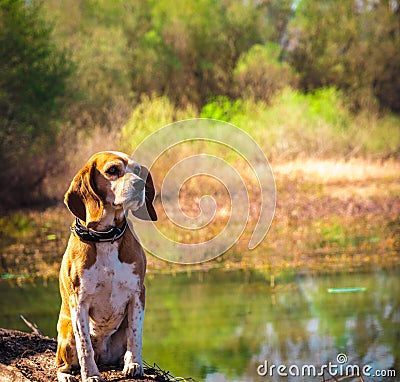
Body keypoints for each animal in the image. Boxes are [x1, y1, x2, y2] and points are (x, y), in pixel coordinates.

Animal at [56, 151, 156, 380]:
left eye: (138, 170)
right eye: (112, 170)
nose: (140, 184)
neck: (105, 238)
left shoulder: (138, 293)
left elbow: (135, 336)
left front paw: (134, 364)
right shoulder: (79, 302)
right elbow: (85, 346)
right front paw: (90, 375)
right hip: (66, 332)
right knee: (61, 365)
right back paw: (67, 375)